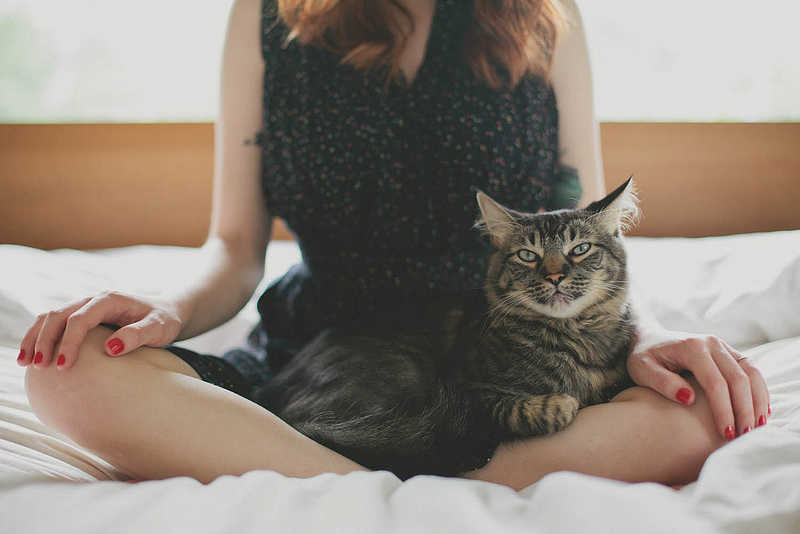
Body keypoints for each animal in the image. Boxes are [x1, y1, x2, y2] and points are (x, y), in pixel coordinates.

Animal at [262, 178, 636, 480]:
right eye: (528, 255)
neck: (576, 336)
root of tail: (272, 395)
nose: (555, 276)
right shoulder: (471, 390)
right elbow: (520, 408)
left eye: (580, 249)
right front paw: (562, 405)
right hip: (402, 374)